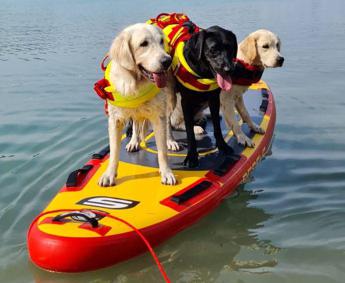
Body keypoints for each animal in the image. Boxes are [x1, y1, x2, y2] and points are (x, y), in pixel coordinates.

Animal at [97, 23, 176, 189]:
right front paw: (109, 175)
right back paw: (134, 142)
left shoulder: (158, 116)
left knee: (168, 122)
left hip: (170, 99)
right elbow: (114, 151)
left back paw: (171, 140)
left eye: (161, 41)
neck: (136, 83)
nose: (167, 61)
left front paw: (166, 173)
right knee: (136, 124)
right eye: (143, 44)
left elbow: (162, 151)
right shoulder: (115, 120)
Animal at [177, 26, 236, 169]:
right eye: (213, 49)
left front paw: (222, 146)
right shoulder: (185, 102)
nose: (229, 69)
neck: (202, 73)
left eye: (231, 48)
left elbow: (217, 128)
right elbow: (190, 133)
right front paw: (192, 157)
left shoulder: (214, 99)